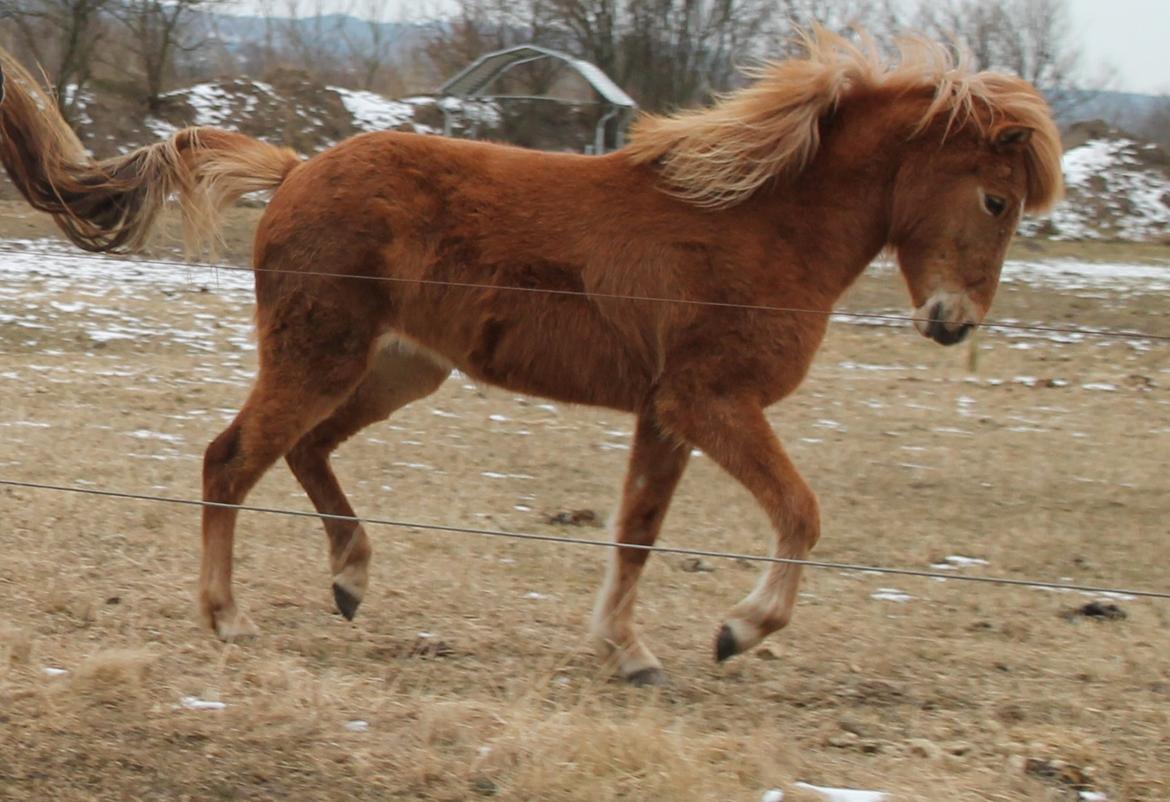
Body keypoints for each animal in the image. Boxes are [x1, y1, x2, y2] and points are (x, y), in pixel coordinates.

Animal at [0, 31, 1062, 683]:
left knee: (304, 452)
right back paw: (229, 617)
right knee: (230, 460)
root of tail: (298, 168)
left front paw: (628, 652)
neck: (755, 225)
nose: (954, 322)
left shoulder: (665, 412)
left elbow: (636, 530)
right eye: (996, 199)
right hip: (321, 358)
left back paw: (350, 579)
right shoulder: (712, 400)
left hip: (399, 368)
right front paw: (737, 631)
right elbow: (799, 511)